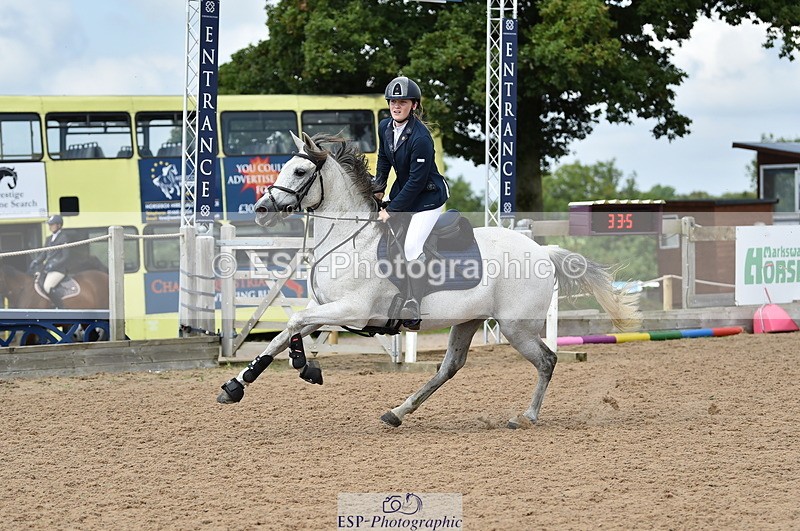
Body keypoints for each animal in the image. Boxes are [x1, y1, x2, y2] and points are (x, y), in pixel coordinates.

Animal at [217, 132, 641, 428]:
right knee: (449, 368)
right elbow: (285, 331)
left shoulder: (352, 310)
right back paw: (397, 412)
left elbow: (293, 324)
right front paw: (239, 384)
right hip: (468, 321)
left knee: (547, 360)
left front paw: (304, 367)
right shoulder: (324, 306)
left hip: (515, 327)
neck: (348, 238)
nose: (261, 209)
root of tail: (542, 251)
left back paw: (526, 416)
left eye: (300, 171)